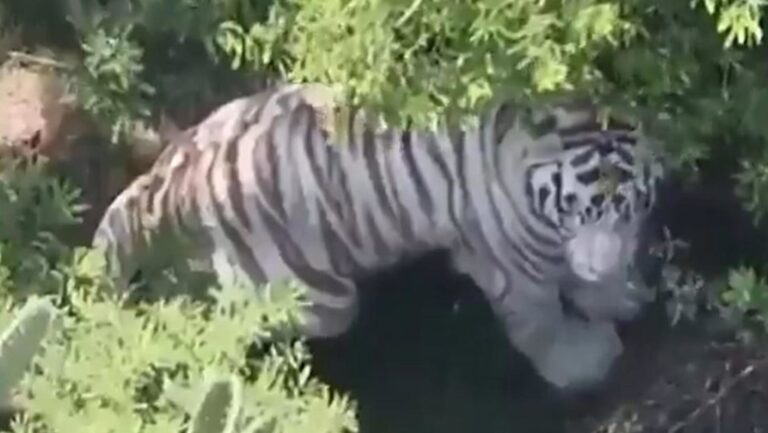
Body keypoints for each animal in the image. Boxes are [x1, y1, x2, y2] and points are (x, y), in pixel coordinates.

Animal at [92, 82, 664, 393]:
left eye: (631, 207)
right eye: (575, 208)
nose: (602, 264)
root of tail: (169, 183)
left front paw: (619, 294)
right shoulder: (512, 264)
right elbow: (541, 323)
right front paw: (585, 361)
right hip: (321, 301)